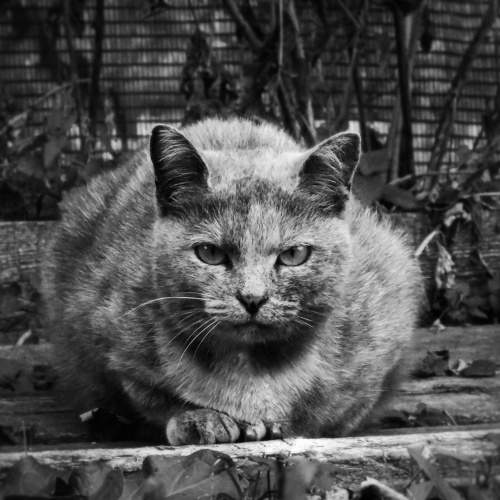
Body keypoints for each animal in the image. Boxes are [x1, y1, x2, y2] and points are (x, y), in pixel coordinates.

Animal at [42, 117, 422, 445]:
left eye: (294, 254)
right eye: (210, 252)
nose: (252, 298)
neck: (251, 368)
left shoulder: (380, 346)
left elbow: (330, 412)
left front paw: (277, 422)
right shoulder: (110, 340)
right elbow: (151, 399)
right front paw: (201, 419)